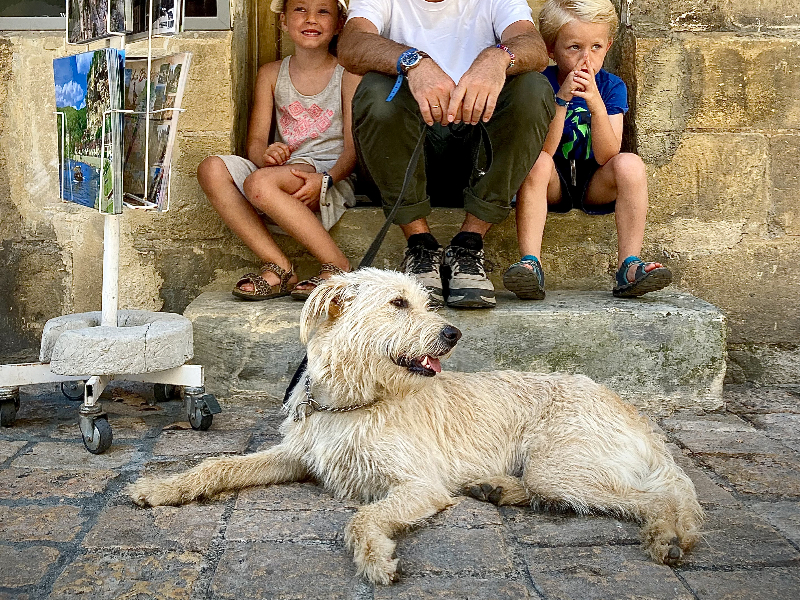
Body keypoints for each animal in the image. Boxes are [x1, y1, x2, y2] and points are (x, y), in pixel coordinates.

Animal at [128, 268, 704, 584]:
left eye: (427, 301)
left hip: (561, 465)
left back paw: (665, 537)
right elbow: (218, 464)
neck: (356, 402)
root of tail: (631, 412)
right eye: (398, 303)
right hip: (555, 472)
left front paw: (376, 558)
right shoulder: (296, 456)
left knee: (656, 497)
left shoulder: (419, 485)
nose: (452, 333)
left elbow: (362, 518)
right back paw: (496, 488)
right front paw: (161, 487)